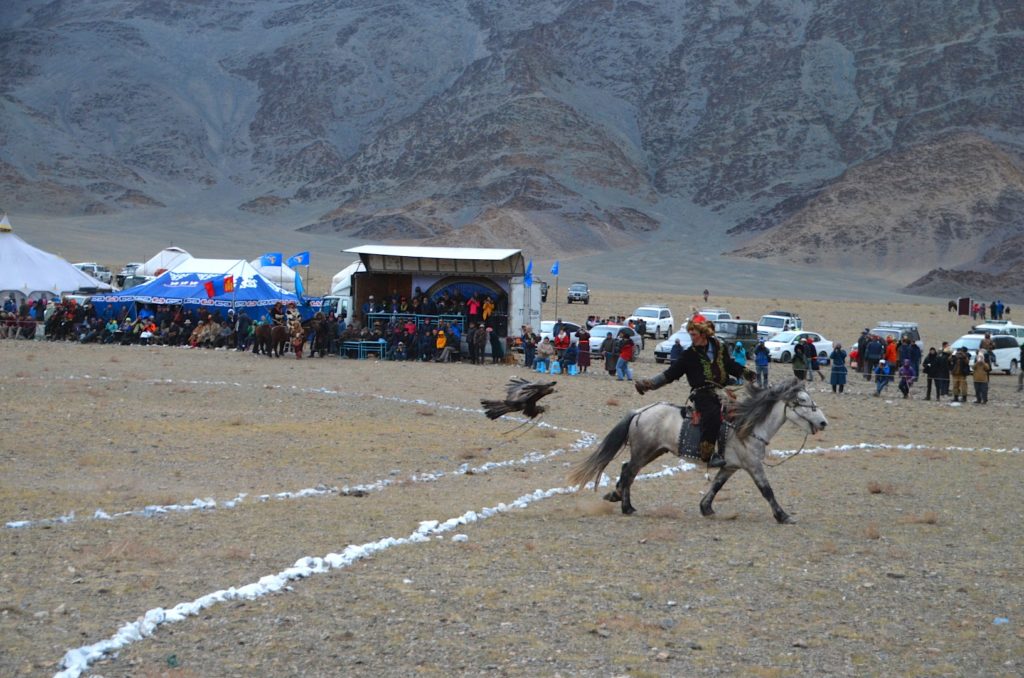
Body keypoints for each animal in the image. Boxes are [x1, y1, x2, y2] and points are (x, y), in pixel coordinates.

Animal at [573, 378, 827, 522]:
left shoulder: (731, 467)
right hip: (644, 451)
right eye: (803, 401)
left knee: (629, 471)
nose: (823, 422)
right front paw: (783, 516)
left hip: (653, 451)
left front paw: (706, 508)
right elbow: (767, 491)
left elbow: (716, 486)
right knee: (628, 472)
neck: (746, 427)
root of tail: (640, 411)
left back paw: (618, 497)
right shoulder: (753, 466)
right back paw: (627, 507)